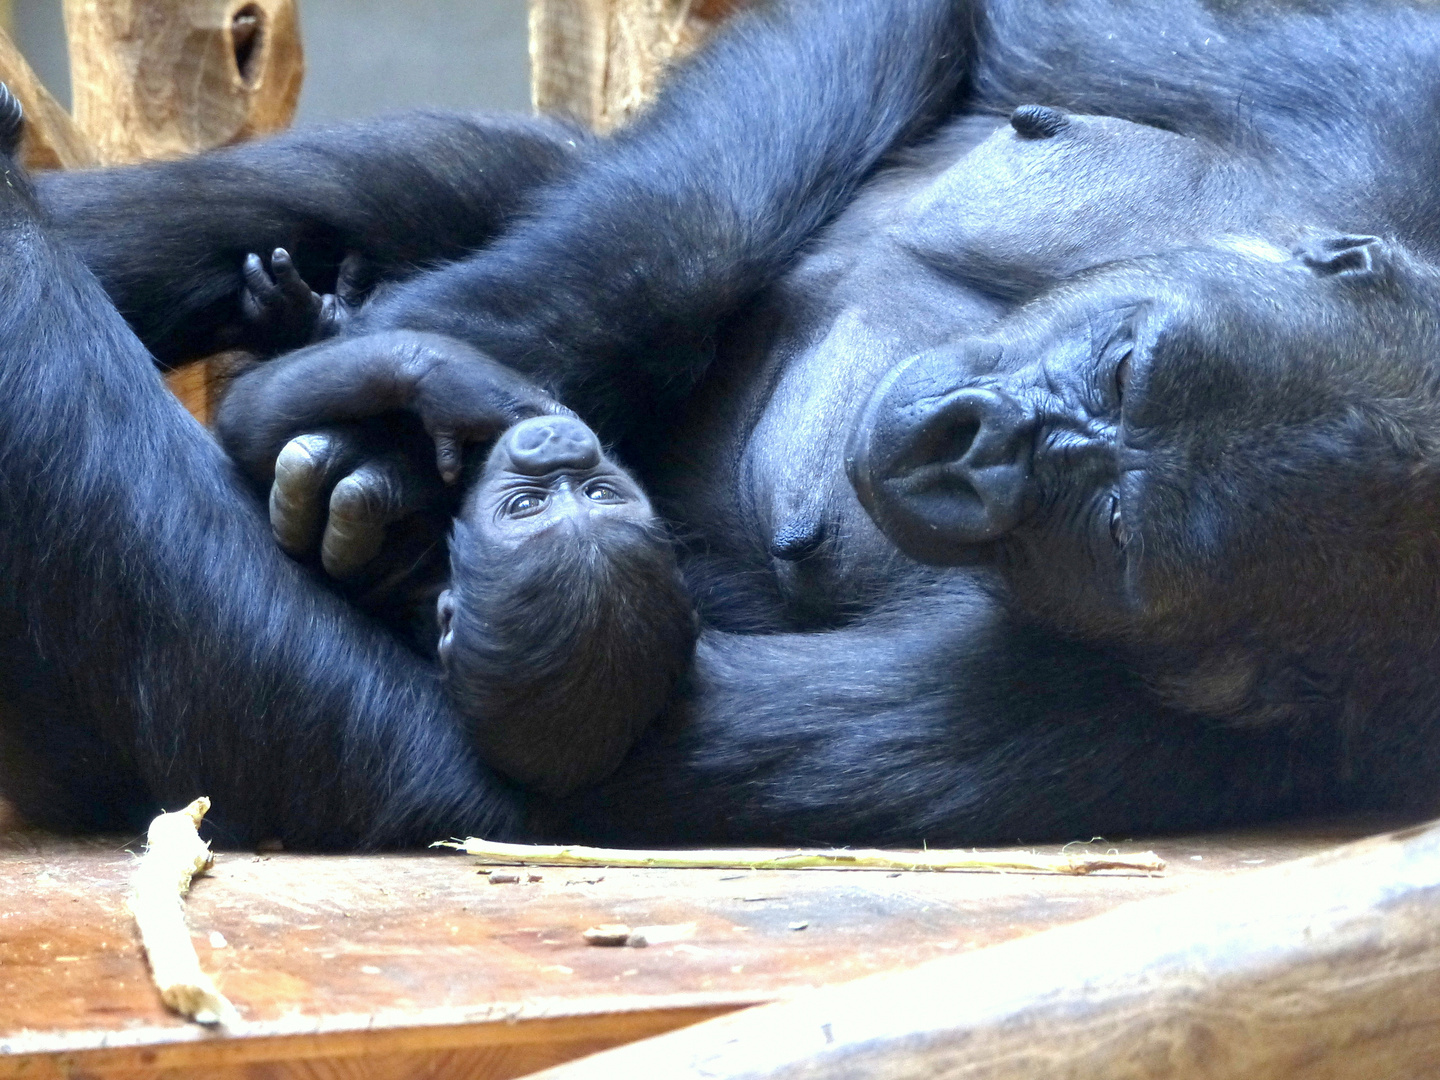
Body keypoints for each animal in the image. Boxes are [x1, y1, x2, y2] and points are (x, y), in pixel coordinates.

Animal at [214, 334, 702, 800]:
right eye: (601, 494)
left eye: (525, 506)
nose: (557, 443)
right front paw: (465, 385)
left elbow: (250, 421)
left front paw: (439, 373)